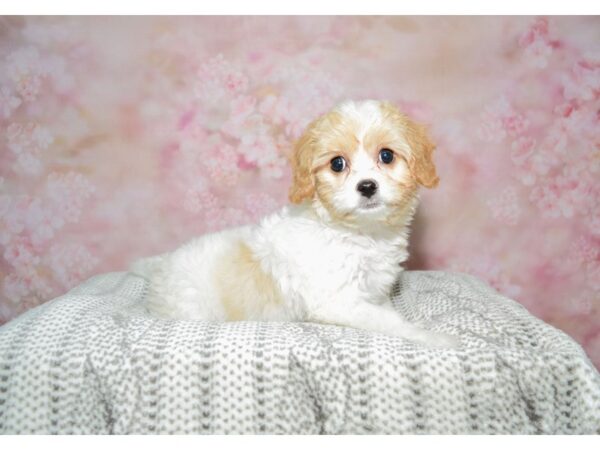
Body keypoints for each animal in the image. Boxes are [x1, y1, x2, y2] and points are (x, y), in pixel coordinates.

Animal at [132, 100, 460, 350]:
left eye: (387, 156)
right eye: (337, 164)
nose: (367, 186)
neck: (361, 233)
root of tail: (161, 267)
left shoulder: (375, 293)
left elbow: (388, 311)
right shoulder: (340, 300)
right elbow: (392, 321)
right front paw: (435, 337)